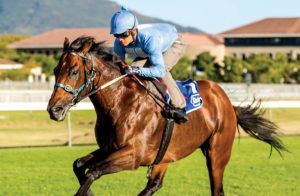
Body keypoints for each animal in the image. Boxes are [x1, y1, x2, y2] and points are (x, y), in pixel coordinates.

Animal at [47, 36, 286, 195]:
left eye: (74, 71)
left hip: (217, 154)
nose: (54, 109)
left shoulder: (133, 155)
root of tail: (227, 102)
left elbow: (93, 171)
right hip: (166, 154)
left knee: (216, 189)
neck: (121, 102)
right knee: (154, 184)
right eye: (56, 70)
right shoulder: (109, 148)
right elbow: (79, 164)